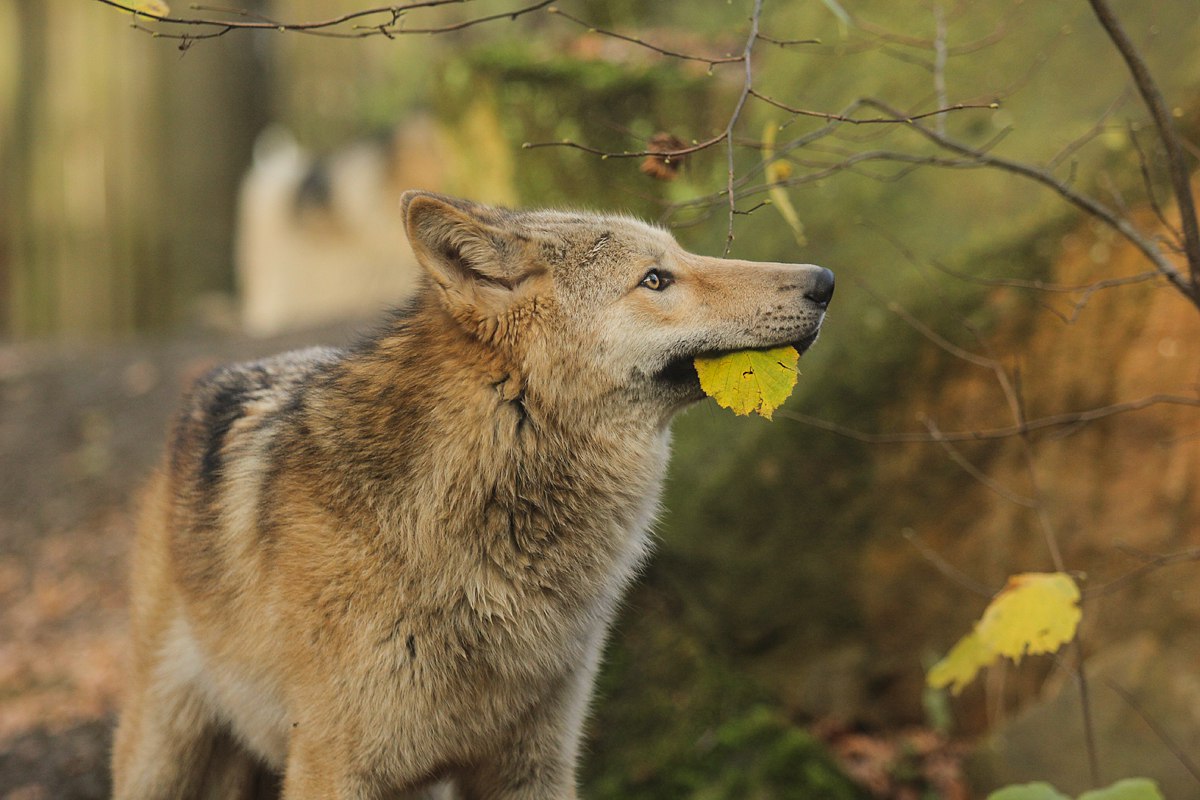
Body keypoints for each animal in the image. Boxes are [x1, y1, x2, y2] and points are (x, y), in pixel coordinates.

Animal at [112, 190, 830, 796]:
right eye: (655, 280)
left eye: (680, 258)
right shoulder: (331, 768)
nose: (824, 281)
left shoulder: (533, 766)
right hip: (161, 757)